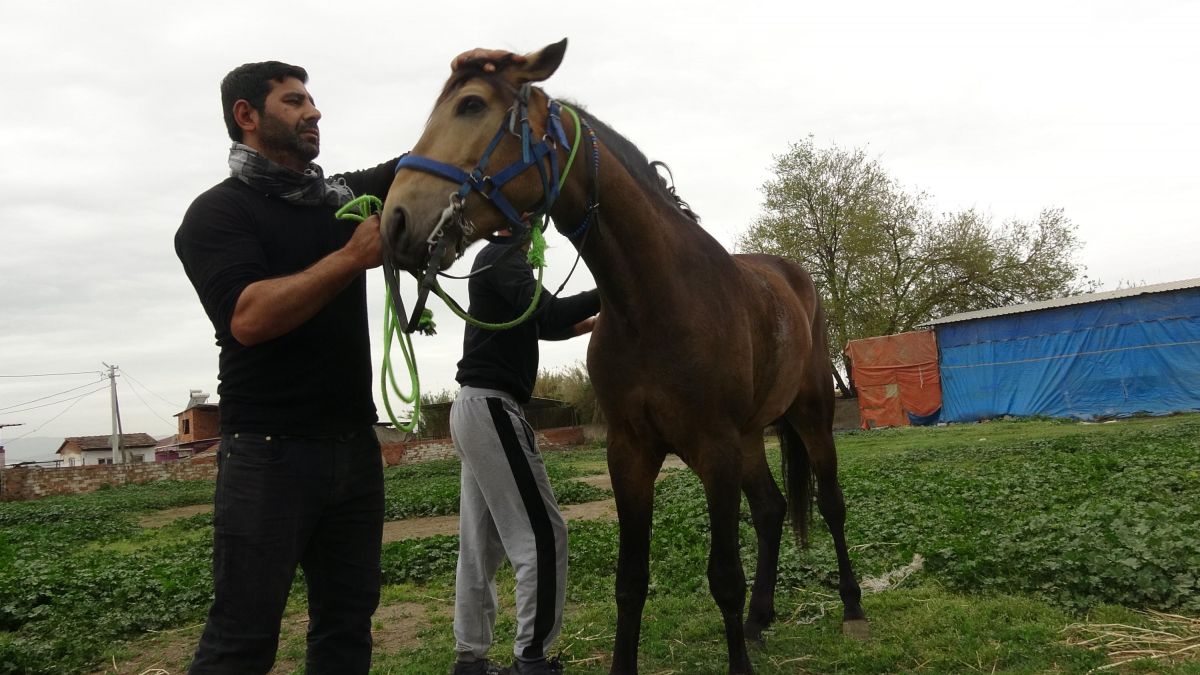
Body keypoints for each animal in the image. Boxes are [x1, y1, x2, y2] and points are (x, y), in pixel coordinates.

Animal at [384, 40, 864, 672]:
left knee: (830, 504)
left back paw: (853, 607)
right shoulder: (630, 452)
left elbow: (724, 577)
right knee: (770, 509)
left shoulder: (713, 449)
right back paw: (760, 620)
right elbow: (630, 579)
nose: (393, 219)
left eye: (470, 105)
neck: (654, 300)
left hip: (808, 416)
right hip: (749, 439)